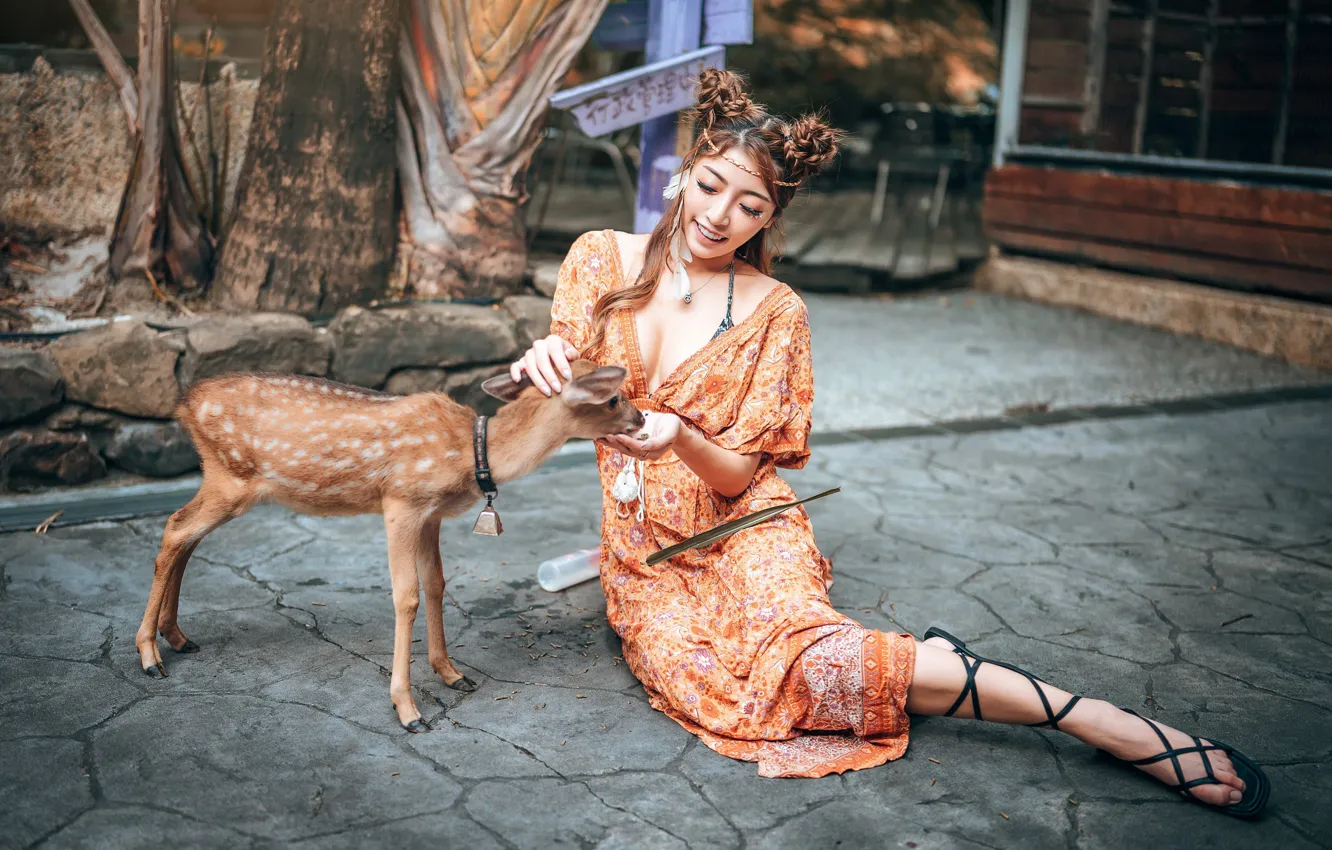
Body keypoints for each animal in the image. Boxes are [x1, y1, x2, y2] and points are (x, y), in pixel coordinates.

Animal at [136, 360, 644, 732]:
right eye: (611, 397)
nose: (640, 417)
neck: (470, 454)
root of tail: (184, 404)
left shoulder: (430, 514)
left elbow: (437, 584)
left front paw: (452, 673)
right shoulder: (400, 501)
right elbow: (406, 596)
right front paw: (408, 709)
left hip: (224, 481)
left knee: (185, 535)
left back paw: (177, 636)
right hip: (232, 478)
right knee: (174, 530)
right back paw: (149, 655)